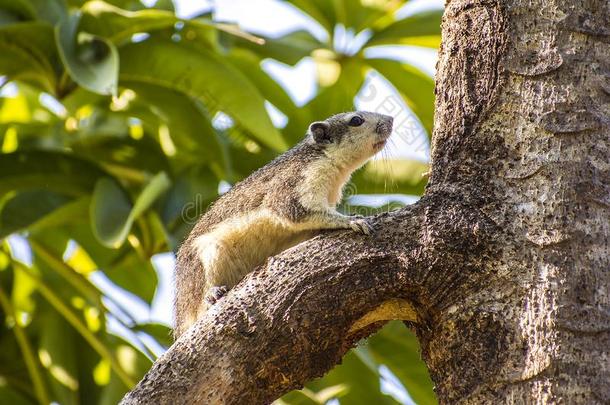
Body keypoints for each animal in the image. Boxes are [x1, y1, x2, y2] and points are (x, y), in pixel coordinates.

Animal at [173, 111, 392, 338]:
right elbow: (292, 210)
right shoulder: (295, 182)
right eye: (356, 120)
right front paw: (351, 221)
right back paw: (212, 294)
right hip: (206, 259)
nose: (391, 120)